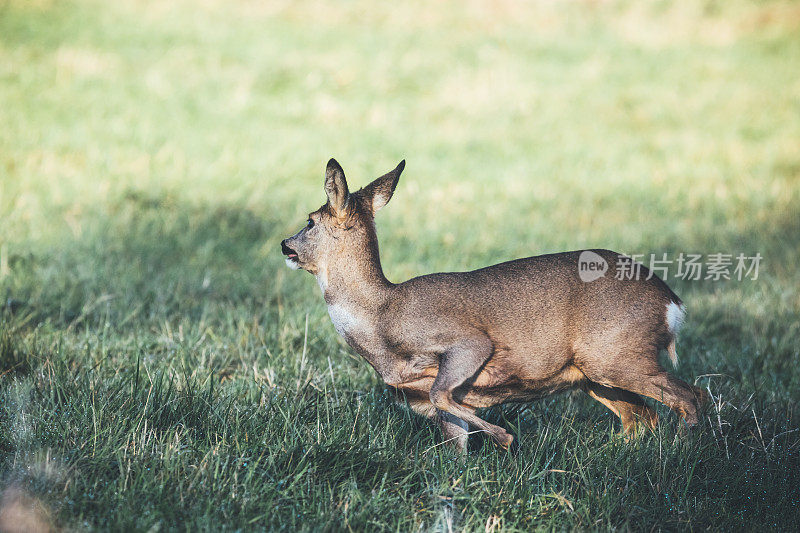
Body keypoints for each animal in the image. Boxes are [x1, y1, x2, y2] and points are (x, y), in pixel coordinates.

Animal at [282, 159, 708, 454]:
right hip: (596, 372)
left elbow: (441, 393)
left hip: (618, 353)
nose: (285, 245)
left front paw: (505, 438)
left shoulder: (465, 340)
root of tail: (671, 301)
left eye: (310, 221)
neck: (380, 318)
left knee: (688, 396)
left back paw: (683, 455)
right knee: (642, 417)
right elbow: (453, 442)